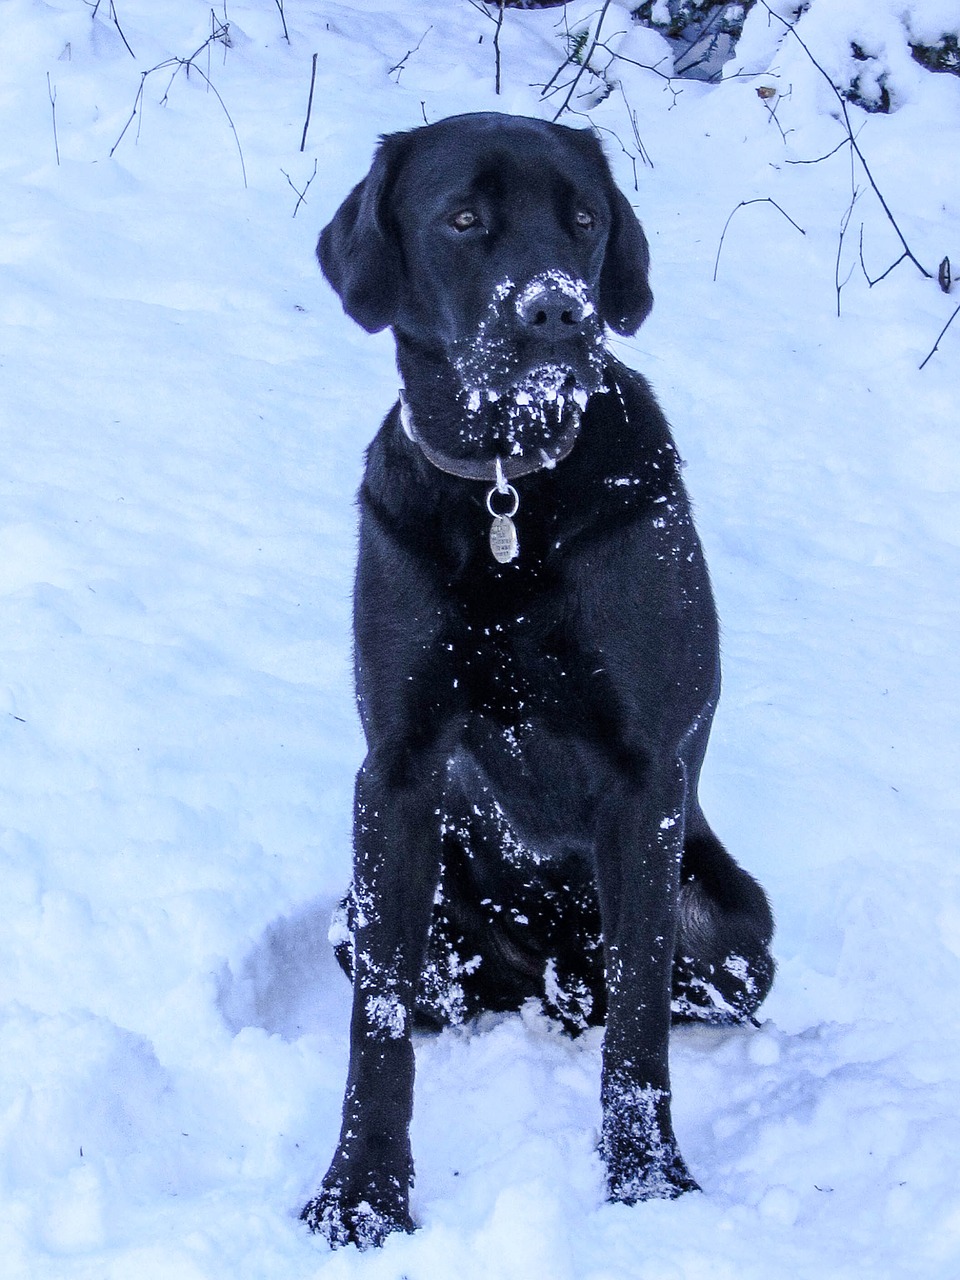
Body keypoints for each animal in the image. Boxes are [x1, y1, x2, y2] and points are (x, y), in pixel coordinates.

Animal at [304, 112, 778, 1249]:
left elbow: (640, 1020)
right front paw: (363, 1194)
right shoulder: (396, 771)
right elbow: (379, 1023)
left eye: (585, 220)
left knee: (631, 998)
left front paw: (649, 1187)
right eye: (464, 218)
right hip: (367, 909)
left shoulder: (647, 782)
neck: (507, 487)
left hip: (741, 927)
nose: (559, 310)